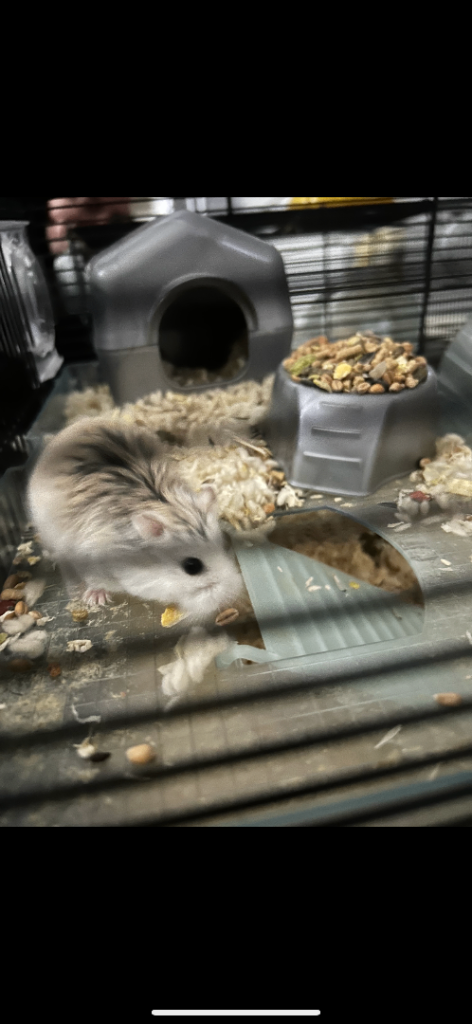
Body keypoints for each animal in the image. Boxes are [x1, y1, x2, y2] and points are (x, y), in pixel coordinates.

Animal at [28, 418, 242, 621]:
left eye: (226, 544)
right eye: (192, 566)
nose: (232, 598)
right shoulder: (89, 563)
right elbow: (94, 581)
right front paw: (97, 599)